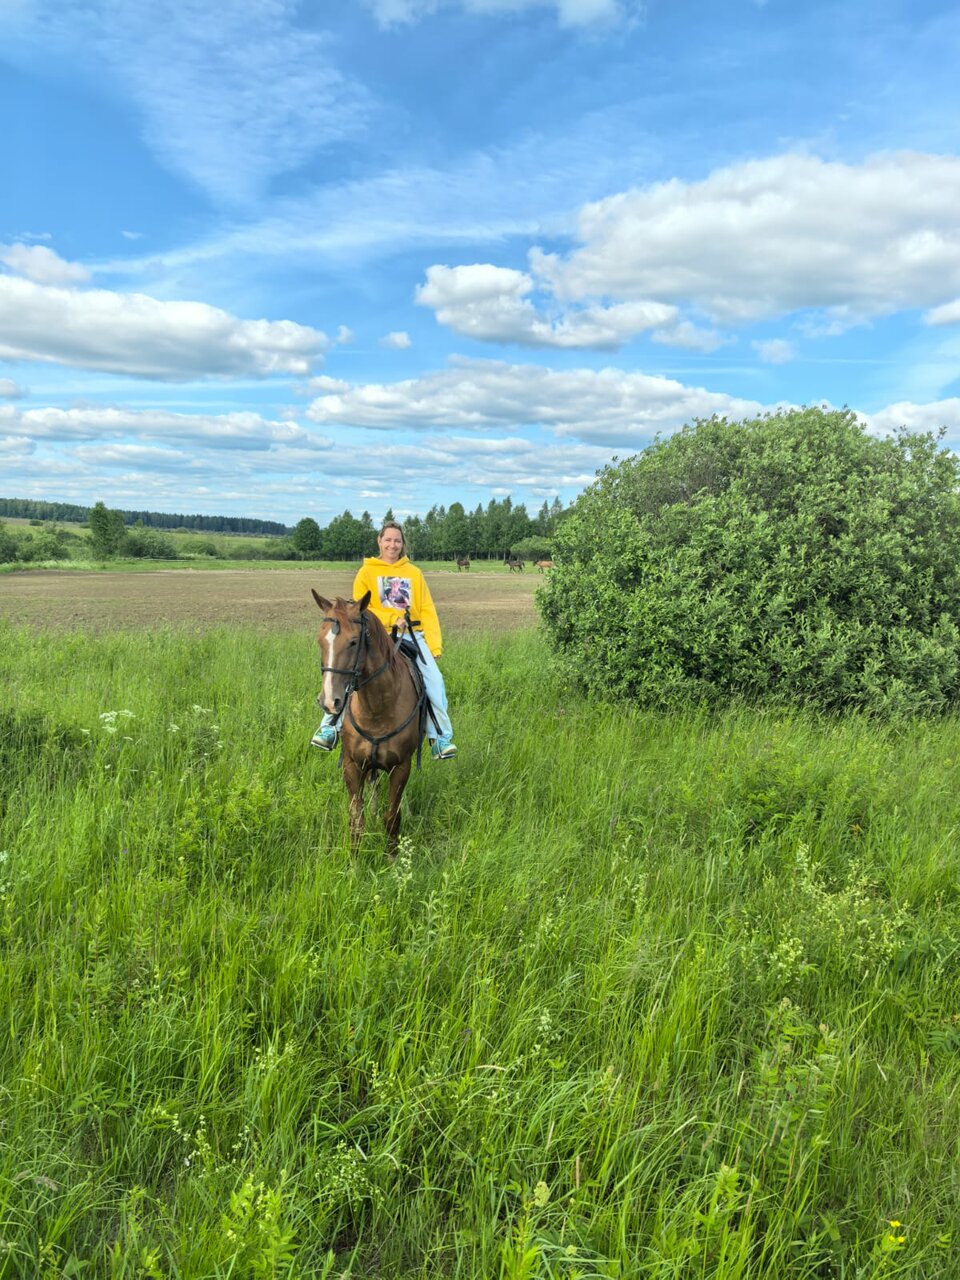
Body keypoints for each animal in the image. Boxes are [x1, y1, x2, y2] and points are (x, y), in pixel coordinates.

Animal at [312, 589, 424, 858]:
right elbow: (356, 817)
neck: (377, 709)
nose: (329, 701)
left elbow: (392, 816)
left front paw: (392, 859)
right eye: (320, 641)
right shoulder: (352, 765)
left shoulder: (400, 767)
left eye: (354, 642)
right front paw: (353, 862)